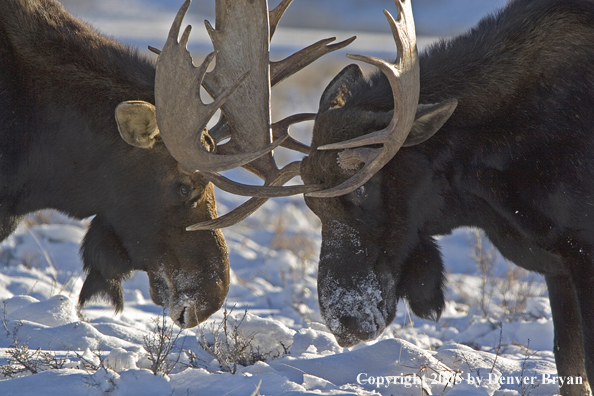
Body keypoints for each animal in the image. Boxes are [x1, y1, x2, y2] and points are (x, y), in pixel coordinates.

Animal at [194, 0, 592, 394]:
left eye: (364, 187)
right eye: (312, 204)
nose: (346, 322)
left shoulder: (580, 254)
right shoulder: (557, 269)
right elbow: (568, 364)